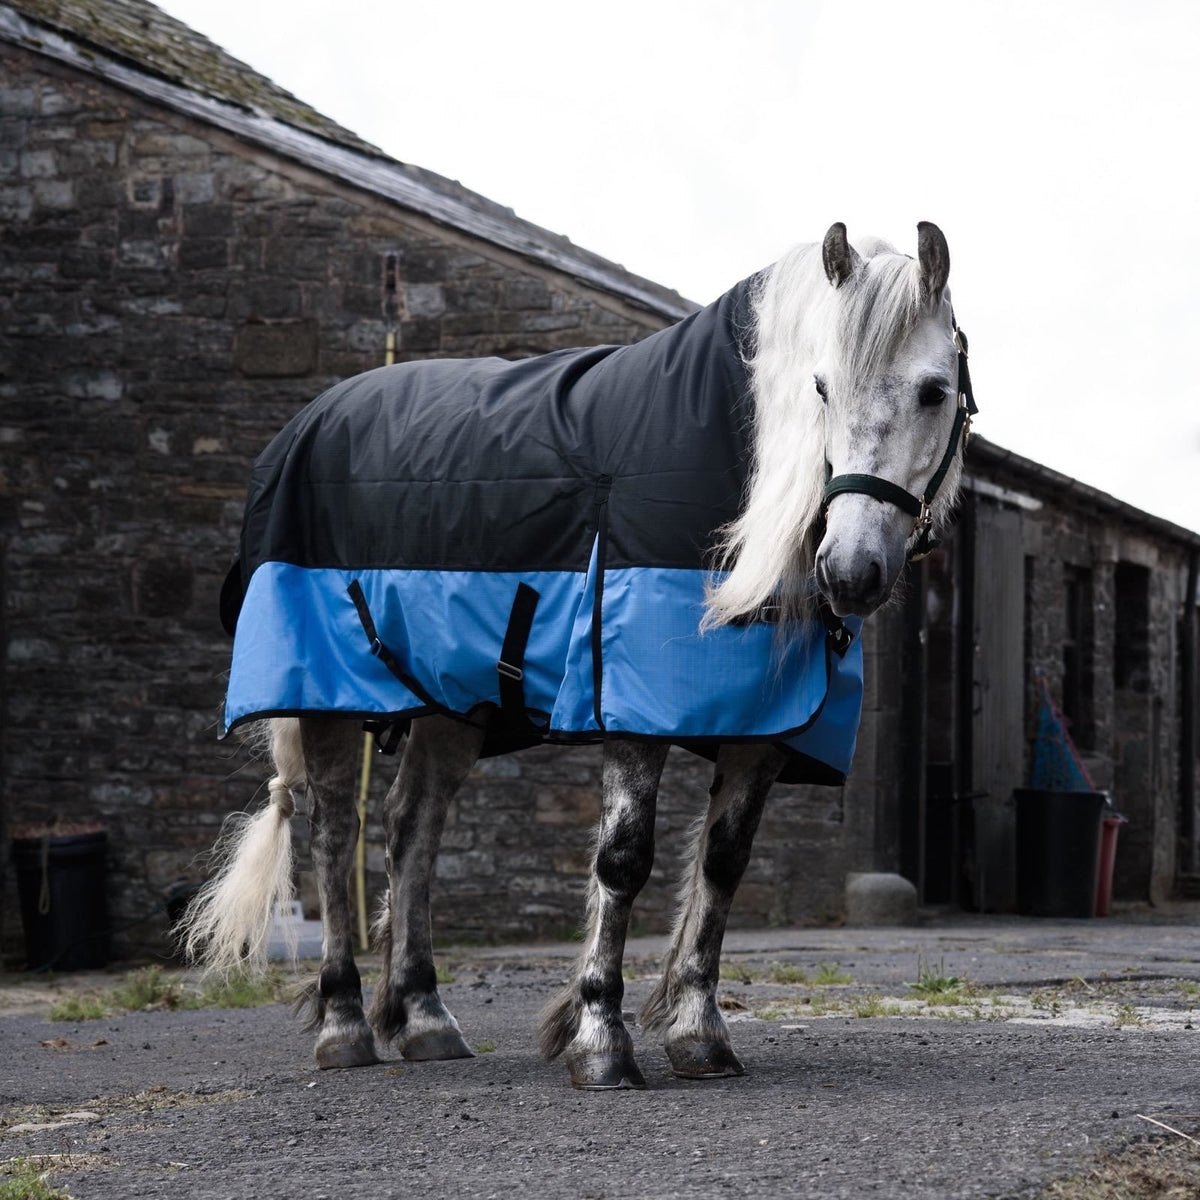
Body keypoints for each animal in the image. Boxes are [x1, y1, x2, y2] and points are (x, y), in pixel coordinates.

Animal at [181, 222, 973, 1090]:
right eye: (821, 387)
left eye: (935, 391)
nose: (851, 571)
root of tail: (312, 418)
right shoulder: (627, 702)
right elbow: (622, 860)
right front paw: (599, 1037)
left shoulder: (765, 730)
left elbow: (724, 863)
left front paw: (699, 1033)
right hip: (325, 695)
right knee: (331, 831)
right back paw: (346, 1025)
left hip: (452, 706)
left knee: (412, 823)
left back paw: (424, 1018)